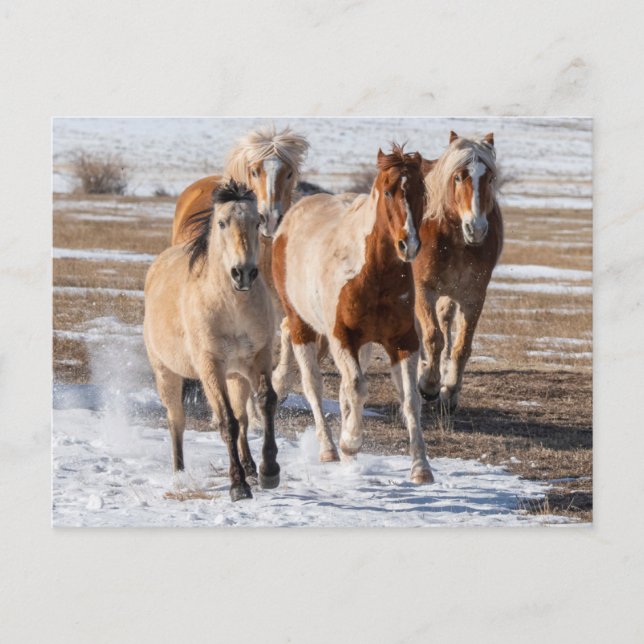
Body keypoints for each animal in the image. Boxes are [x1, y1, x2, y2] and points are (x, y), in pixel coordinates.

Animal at [144, 180, 280, 501]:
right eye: (221, 223)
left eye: (257, 222)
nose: (243, 273)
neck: (232, 307)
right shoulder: (210, 368)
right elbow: (226, 422)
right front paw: (238, 486)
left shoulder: (259, 358)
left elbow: (265, 402)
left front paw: (269, 472)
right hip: (166, 374)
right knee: (176, 421)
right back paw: (180, 473)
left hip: (236, 376)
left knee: (243, 417)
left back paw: (251, 467)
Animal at [272, 145, 434, 484]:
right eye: (388, 191)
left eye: (420, 192)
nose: (409, 244)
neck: (373, 274)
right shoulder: (342, 337)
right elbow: (357, 387)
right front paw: (350, 442)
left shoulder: (403, 341)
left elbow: (410, 399)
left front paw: (421, 467)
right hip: (302, 326)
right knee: (313, 383)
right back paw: (329, 449)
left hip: (363, 343)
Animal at [413, 131, 503, 411]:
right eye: (458, 177)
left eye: (490, 178)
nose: (476, 228)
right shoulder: (423, 289)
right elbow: (432, 337)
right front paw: (428, 385)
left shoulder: (473, 295)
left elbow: (461, 345)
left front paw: (450, 389)